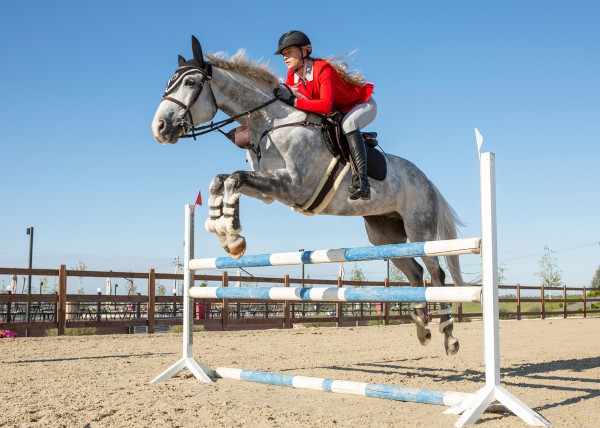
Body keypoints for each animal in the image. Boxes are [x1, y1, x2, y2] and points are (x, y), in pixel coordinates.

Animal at [152, 36, 466, 356]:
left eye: (191, 82)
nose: (159, 128)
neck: (271, 121)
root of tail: (427, 181)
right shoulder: (270, 190)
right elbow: (222, 180)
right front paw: (223, 230)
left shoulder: (293, 185)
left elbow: (234, 179)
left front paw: (233, 236)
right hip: (384, 237)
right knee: (414, 272)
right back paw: (422, 326)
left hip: (418, 229)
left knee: (436, 273)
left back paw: (448, 335)